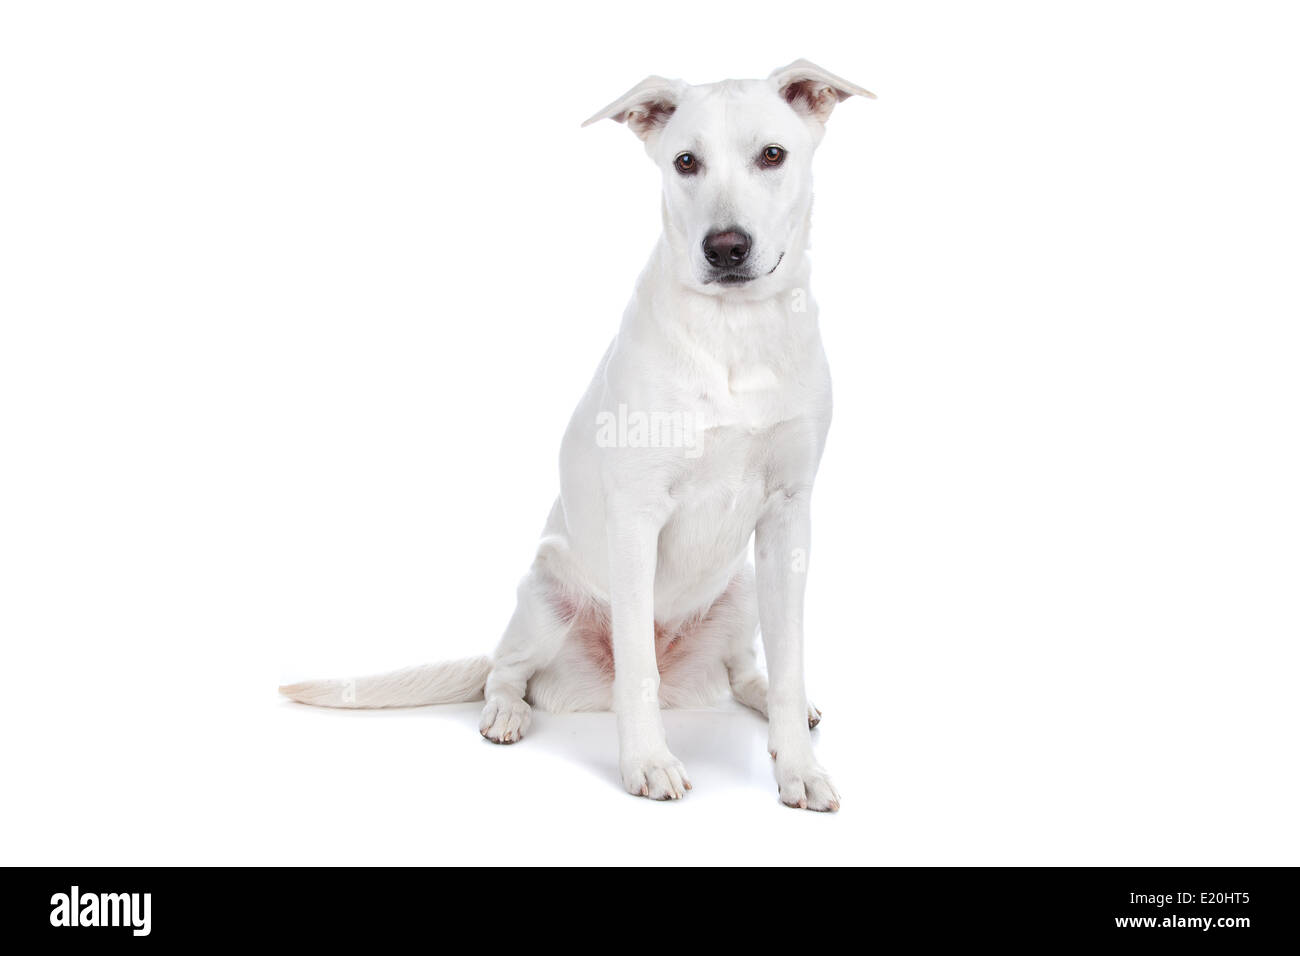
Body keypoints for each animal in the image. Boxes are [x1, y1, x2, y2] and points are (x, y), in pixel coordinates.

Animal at [283, 59, 873, 811]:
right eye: (686, 162)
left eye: (773, 155)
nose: (725, 248)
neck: (734, 330)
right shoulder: (638, 516)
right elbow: (638, 668)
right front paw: (648, 761)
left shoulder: (789, 515)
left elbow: (792, 659)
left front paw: (799, 766)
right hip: (544, 596)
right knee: (507, 671)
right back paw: (506, 713)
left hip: (740, 589)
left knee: (744, 671)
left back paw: (771, 701)